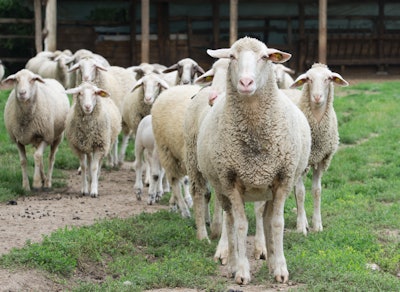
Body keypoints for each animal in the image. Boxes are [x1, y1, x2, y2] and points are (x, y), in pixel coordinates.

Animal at [195, 37, 310, 286]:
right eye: (232, 57)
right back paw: (231, 263)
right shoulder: (231, 181)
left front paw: (280, 269)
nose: (246, 82)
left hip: (266, 189)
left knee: (265, 219)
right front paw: (242, 272)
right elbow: (240, 225)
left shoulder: (283, 179)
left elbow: (276, 223)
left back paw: (270, 260)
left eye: (265, 57)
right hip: (221, 188)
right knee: (229, 222)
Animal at [288, 62, 350, 234]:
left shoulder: (322, 160)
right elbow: (301, 193)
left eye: (328, 79)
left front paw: (317, 224)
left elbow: (316, 191)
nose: (317, 97)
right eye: (308, 79)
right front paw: (301, 227)